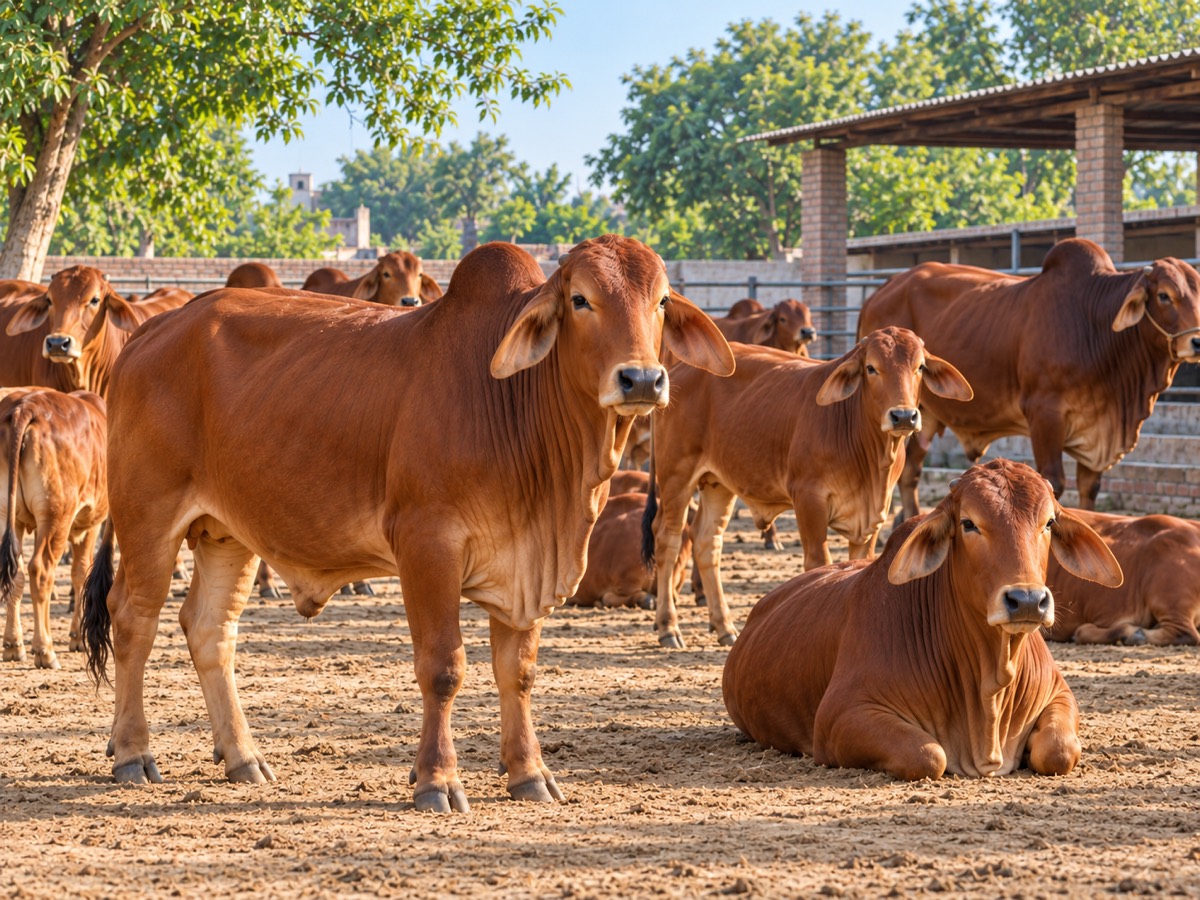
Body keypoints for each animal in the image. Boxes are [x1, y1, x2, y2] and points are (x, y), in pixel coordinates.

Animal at [0, 389, 108, 670]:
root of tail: (24, 406)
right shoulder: (90, 523)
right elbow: (81, 572)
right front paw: (77, 637)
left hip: (7, 515)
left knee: (16, 573)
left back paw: (14, 644)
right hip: (56, 516)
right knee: (40, 571)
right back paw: (45, 649)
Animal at [644, 328, 971, 648]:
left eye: (920, 367)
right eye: (871, 368)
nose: (903, 416)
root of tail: (680, 369)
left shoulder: (873, 517)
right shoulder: (809, 500)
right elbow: (818, 563)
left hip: (717, 484)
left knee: (706, 541)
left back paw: (724, 626)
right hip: (676, 475)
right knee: (668, 538)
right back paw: (668, 627)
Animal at [722, 459, 1123, 780]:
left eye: (1049, 522)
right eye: (968, 523)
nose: (1026, 600)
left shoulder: (1059, 694)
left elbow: (1058, 750)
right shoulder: (841, 715)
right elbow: (928, 755)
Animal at [858, 239, 1200, 520]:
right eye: (1164, 295)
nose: (1196, 341)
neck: (1094, 324)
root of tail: (881, 291)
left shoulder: (1098, 426)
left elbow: (1089, 488)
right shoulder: (1045, 413)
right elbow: (1054, 482)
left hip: (924, 414)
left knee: (911, 472)